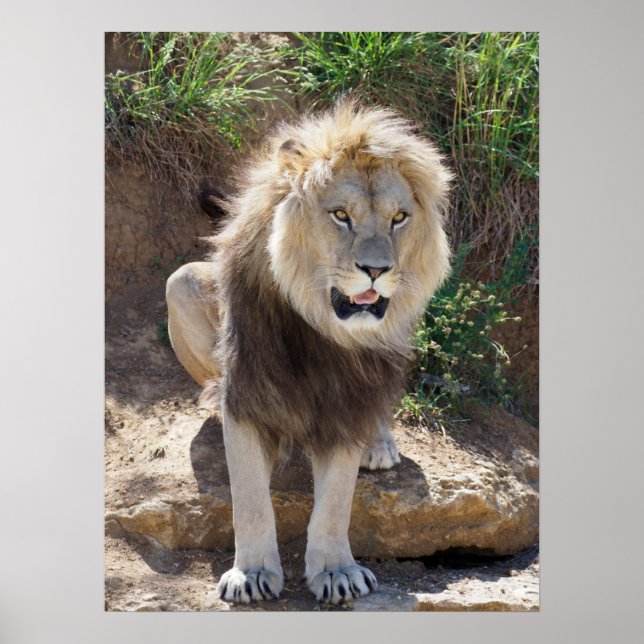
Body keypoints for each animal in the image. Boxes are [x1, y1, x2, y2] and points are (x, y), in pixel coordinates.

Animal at [166, 98, 451, 605]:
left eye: (399, 218)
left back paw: (378, 443)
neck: (322, 333)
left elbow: (336, 499)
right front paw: (252, 573)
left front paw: (336, 571)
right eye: (340, 215)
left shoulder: (347, 402)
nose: (376, 269)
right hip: (178, 283)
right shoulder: (247, 395)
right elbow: (250, 497)